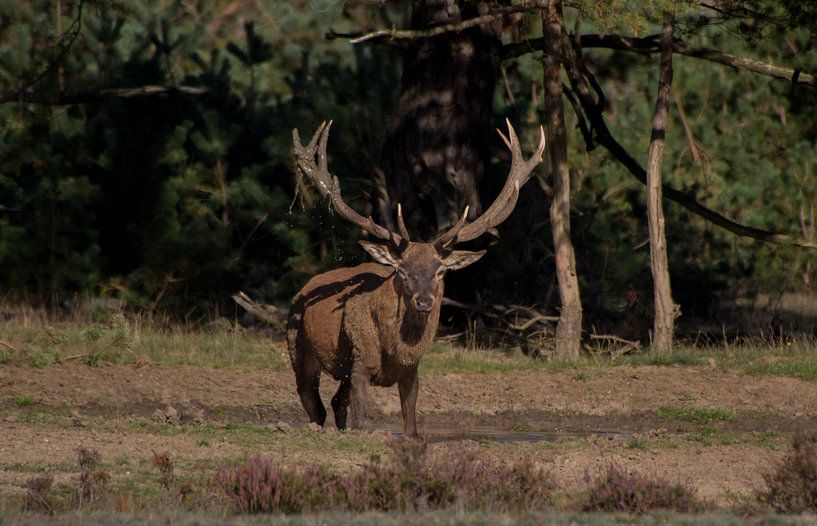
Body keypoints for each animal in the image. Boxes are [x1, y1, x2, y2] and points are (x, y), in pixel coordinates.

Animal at [288, 119, 545, 437]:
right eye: (402, 270)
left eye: (441, 270)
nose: (424, 301)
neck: (394, 350)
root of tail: (303, 289)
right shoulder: (359, 362)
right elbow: (360, 421)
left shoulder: (412, 371)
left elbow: (411, 425)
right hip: (298, 347)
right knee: (314, 402)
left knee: (336, 402)